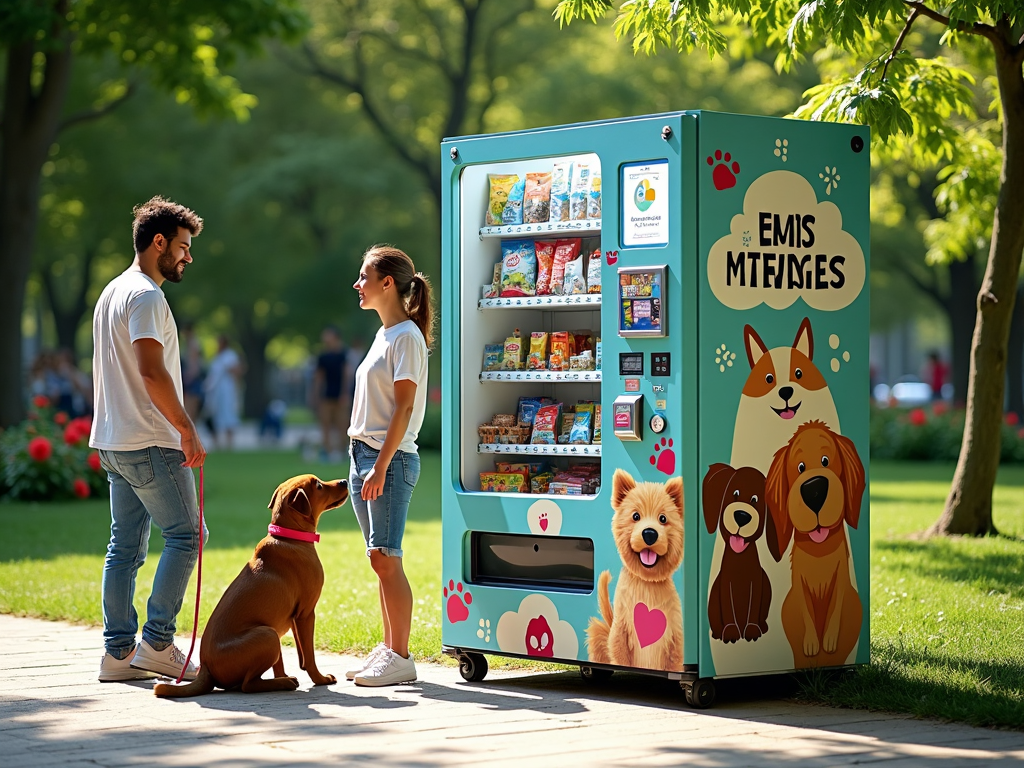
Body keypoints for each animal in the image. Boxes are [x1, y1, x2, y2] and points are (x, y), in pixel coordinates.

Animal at [153, 475, 348, 696]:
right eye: (319, 486)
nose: (344, 481)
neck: (288, 537)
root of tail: (206, 668)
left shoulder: (294, 618)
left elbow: (297, 657)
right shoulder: (306, 613)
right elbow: (309, 655)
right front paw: (320, 679)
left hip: (272, 633)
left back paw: (282, 680)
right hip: (268, 635)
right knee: (248, 685)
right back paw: (282, 683)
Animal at [700, 466, 770, 647]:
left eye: (755, 499)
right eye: (735, 493)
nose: (742, 516)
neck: (740, 558)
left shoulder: (757, 583)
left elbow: (753, 606)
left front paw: (752, 630)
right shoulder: (725, 584)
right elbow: (728, 608)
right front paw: (731, 632)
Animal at [770, 423, 864, 671]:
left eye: (825, 460)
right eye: (800, 467)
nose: (814, 489)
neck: (819, 551)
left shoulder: (841, 576)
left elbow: (836, 604)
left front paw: (829, 640)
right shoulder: (798, 582)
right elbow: (805, 610)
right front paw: (812, 643)